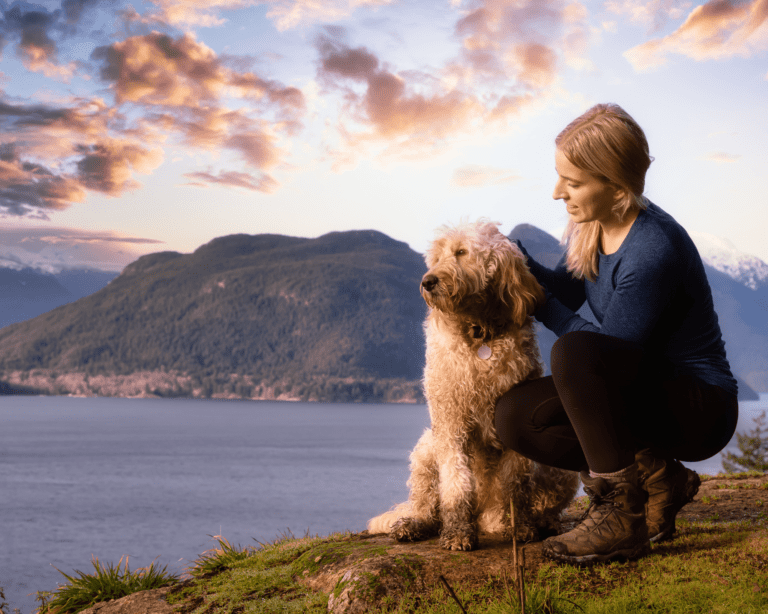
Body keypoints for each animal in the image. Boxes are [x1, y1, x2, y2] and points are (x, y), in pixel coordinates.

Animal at [366, 220, 576, 552]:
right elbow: (456, 482)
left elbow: (515, 483)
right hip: (426, 449)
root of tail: (485, 518)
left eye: (462, 252)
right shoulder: (450, 421)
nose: (427, 281)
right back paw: (415, 524)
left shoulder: (511, 421)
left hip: (560, 469)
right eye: (436, 257)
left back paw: (542, 522)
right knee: (427, 505)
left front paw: (521, 526)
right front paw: (457, 532)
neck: (479, 332)